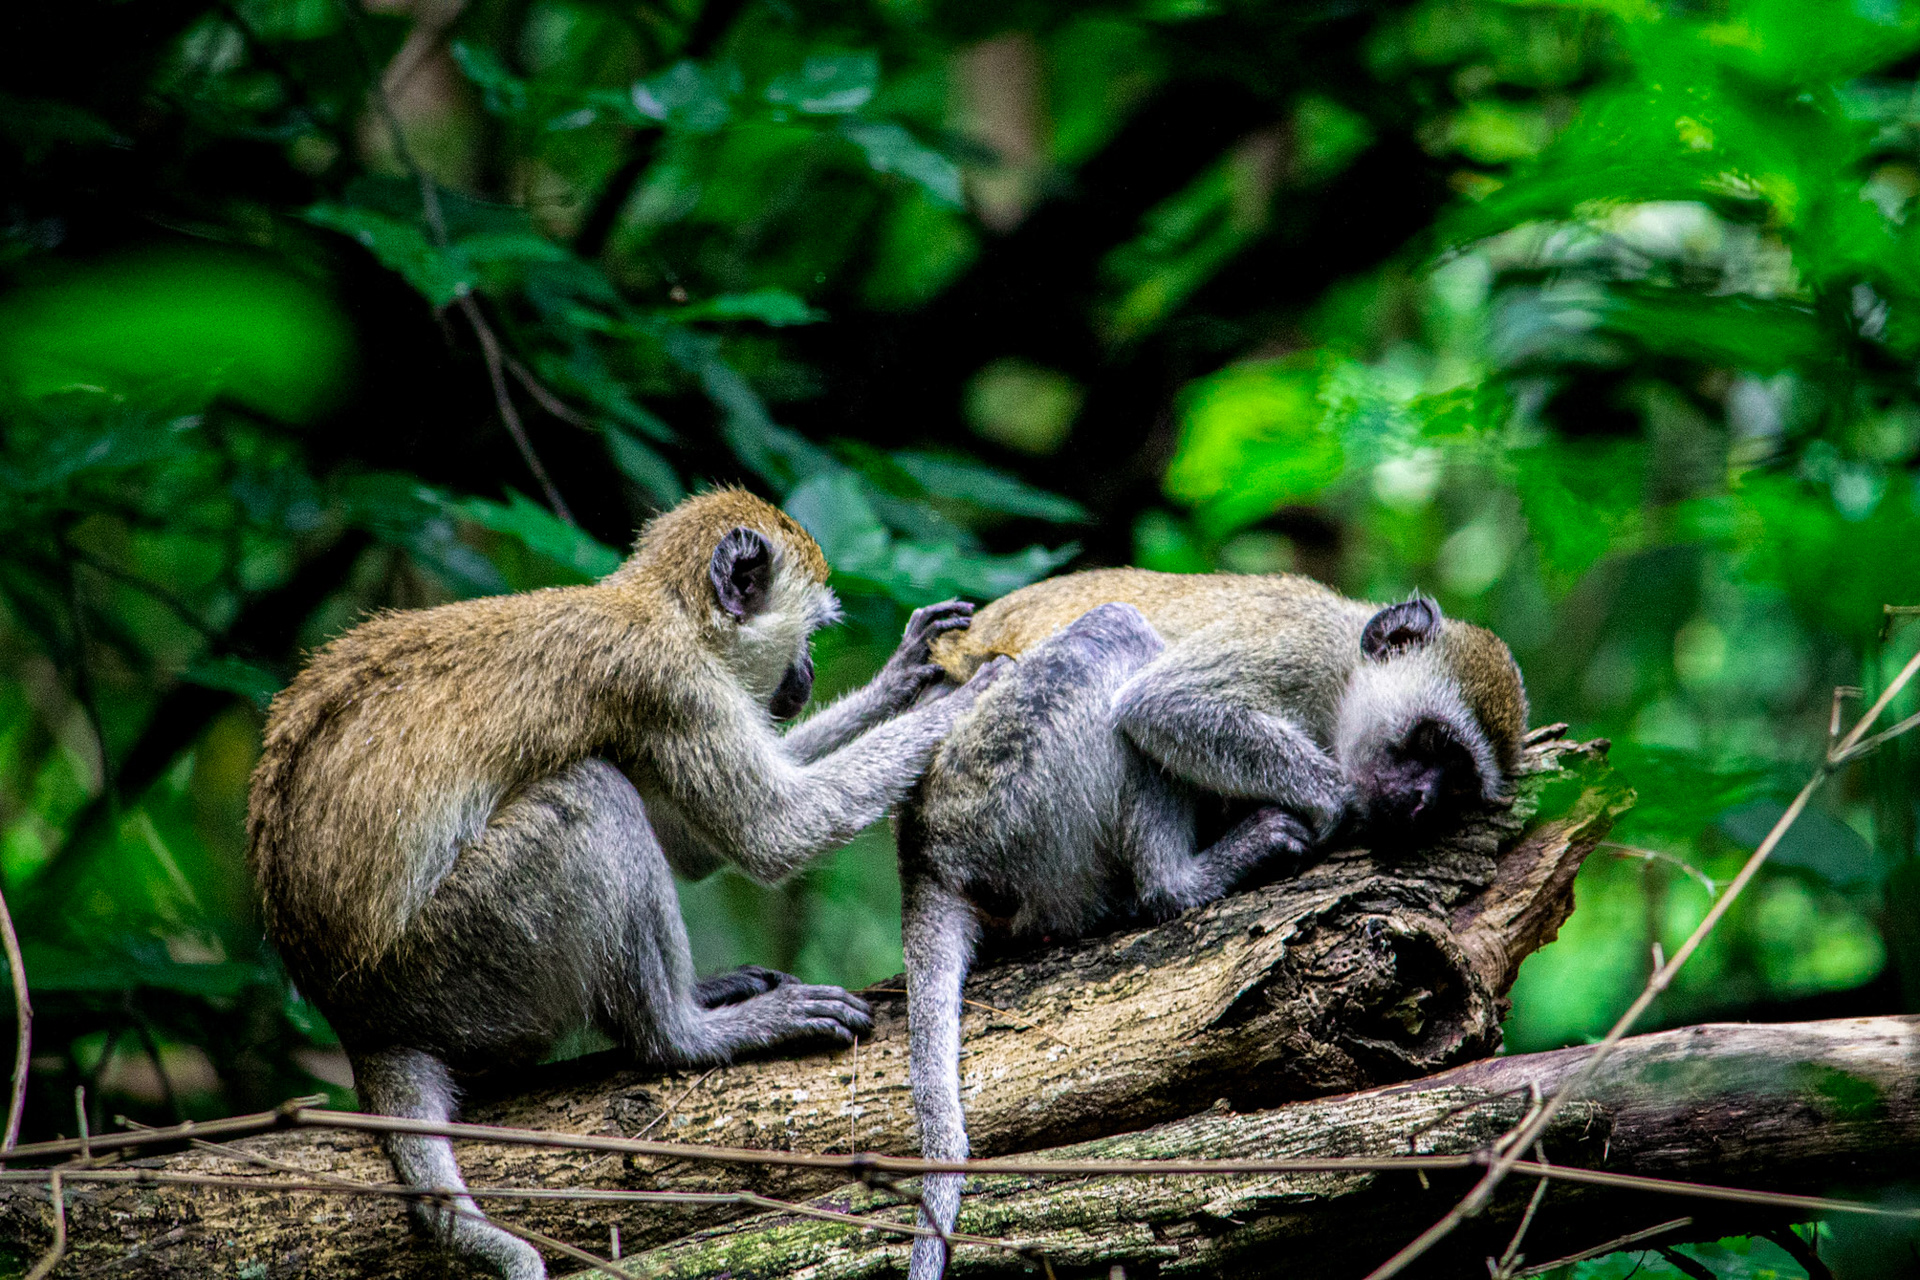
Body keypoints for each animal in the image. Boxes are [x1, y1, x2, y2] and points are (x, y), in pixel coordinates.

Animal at [245, 489, 1006, 1280]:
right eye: (810, 629)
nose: (802, 674)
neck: (667, 610)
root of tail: (357, 1019)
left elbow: (696, 846)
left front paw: (903, 673)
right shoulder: (671, 686)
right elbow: (775, 834)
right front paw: (968, 699)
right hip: (457, 965)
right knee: (592, 796)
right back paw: (683, 1034)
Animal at [901, 568, 1530, 1279]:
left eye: (1458, 784)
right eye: (1432, 742)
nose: (1423, 802)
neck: (1342, 676)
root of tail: (925, 846)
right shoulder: (1296, 646)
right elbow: (1162, 705)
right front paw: (1337, 802)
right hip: (996, 794)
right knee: (1116, 642)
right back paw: (1183, 878)